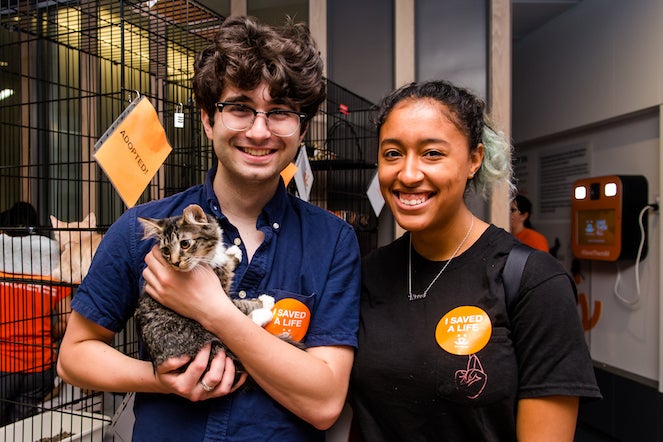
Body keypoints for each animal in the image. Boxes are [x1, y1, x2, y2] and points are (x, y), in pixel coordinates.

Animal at [135, 205, 274, 372]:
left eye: (185, 244)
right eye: (166, 250)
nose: (175, 262)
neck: (206, 259)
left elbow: (227, 263)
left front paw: (232, 253)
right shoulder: (222, 295)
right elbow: (239, 306)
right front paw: (262, 302)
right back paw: (262, 314)